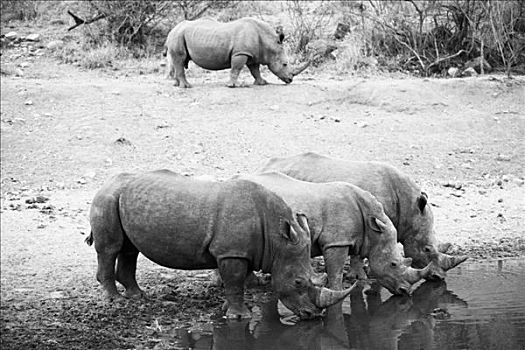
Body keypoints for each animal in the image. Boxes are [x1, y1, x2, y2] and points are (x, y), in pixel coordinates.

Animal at [88, 170, 354, 320]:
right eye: (298, 282)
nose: (312, 316)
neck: (277, 238)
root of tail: (106, 182)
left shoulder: (243, 251)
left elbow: (237, 281)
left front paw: (228, 309)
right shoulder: (231, 253)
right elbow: (235, 281)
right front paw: (239, 317)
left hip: (120, 197)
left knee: (129, 249)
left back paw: (137, 296)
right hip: (107, 197)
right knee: (110, 248)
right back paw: (116, 300)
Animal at [164, 16, 310, 88]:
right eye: (285, 64)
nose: (290, 80)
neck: (269, 42)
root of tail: (172, 29)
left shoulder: (252, 54)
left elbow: (255, 70)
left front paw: (262, 83)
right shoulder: (241, 53)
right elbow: (236, 68)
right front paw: (233, 85)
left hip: (179, 35)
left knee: (179, 61)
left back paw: (176, 85)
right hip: (178, 35)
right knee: (180, 59)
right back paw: (186, 86)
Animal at [237, 171, 430, 294]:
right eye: (393, 264)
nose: (405, 291)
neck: (373, 226)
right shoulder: (337, 241)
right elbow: (335, 270)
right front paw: (337, 290)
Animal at [260, 152, 468, 280]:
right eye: (426, 249)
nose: (438, 277)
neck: (408, 208)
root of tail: (265, 165)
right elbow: (359, 251)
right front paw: (359, 276)